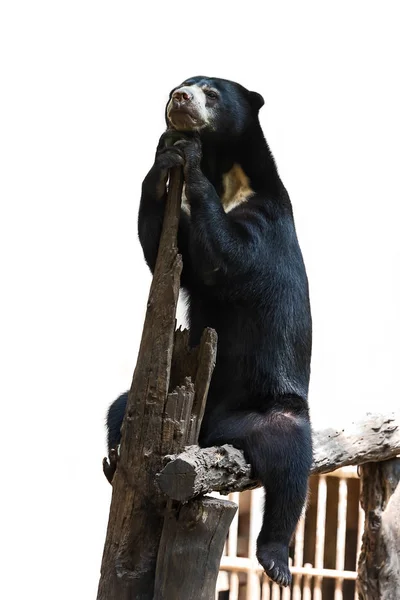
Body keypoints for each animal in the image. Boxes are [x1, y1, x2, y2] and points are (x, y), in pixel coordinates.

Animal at [104, 76, 312, 584]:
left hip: (277, 409)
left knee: (290, 465)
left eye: (211, 93)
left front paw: (188, 159)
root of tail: (215, 431)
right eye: (179, 86)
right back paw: (113, 459)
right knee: (119, 411)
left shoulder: (265, 220)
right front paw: (162, 160)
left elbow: (227, 258)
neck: (227, 172)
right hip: (153, 405)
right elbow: (164, 250)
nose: (180, 98)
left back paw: (276, 561)